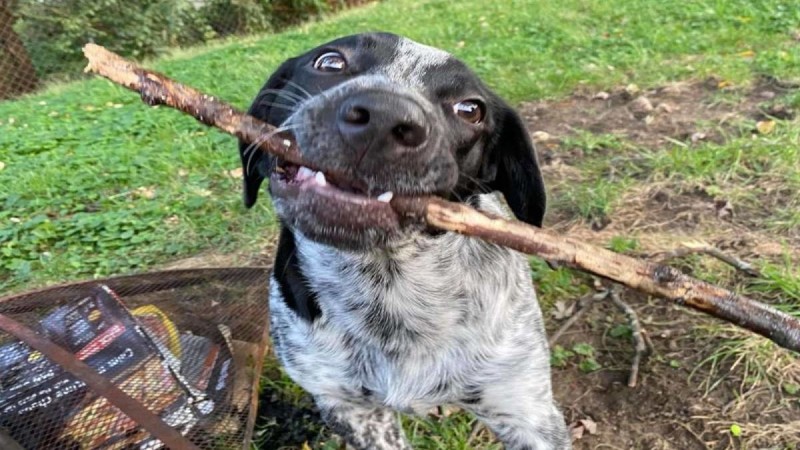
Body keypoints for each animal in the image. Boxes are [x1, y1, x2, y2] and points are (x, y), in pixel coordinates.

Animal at [238, 32, 568, 450]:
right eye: (329, 62)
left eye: (470, 109)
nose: (382, 117)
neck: (389, 288)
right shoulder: (350, 409)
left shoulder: (528, 415)